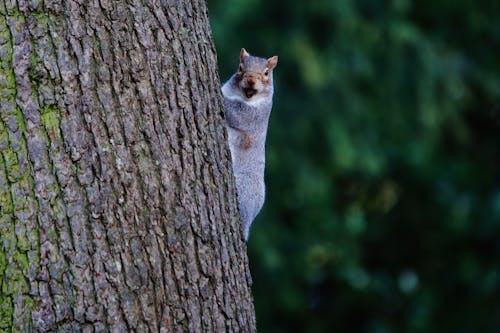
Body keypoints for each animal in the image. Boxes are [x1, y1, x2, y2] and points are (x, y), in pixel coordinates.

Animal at [222, 47, 278, 239]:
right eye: (240, 67)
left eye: (267, 73)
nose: (251, 80)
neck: (243, 96)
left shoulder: (254, 115)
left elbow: (234, 111)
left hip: (245, 188)